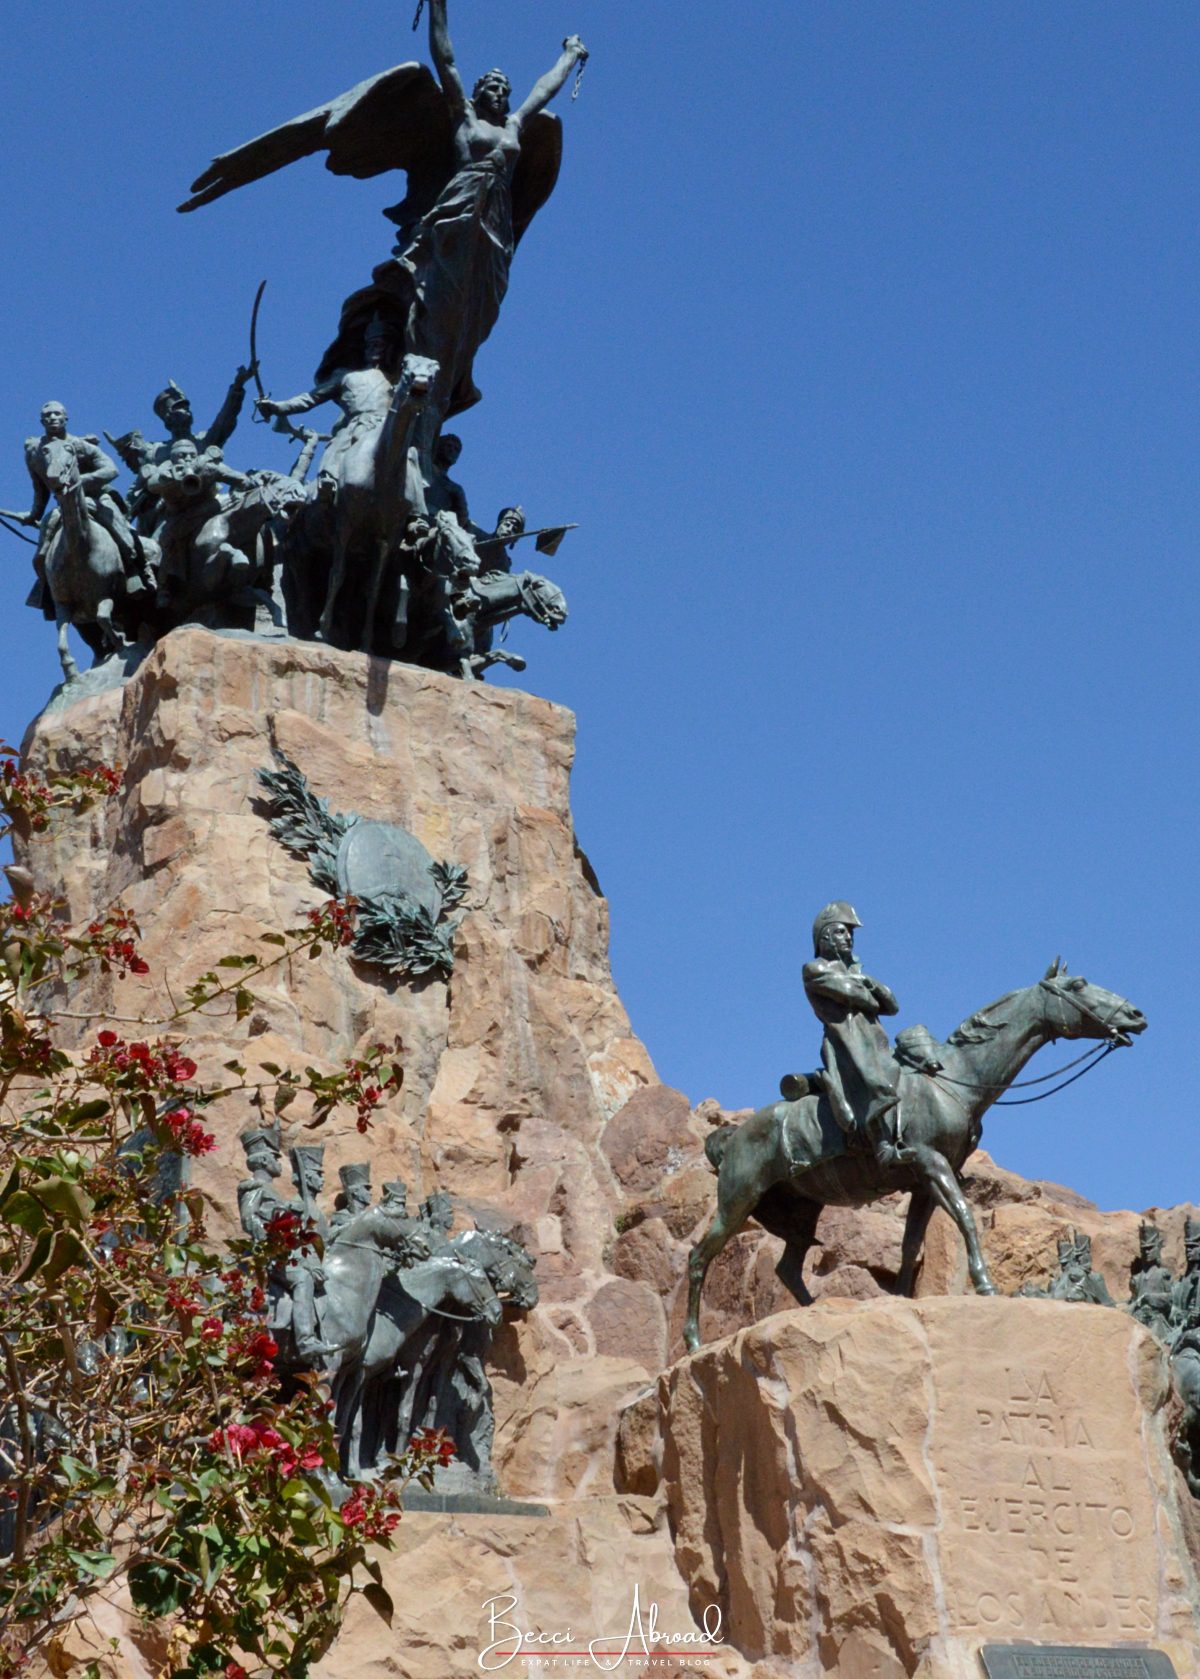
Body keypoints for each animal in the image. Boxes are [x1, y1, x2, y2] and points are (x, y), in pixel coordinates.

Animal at [684, 960, 1147, 1349]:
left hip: (801, 1213)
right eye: (1079, 984)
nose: (1136, 1015)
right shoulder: (931, 1163)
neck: (956, 1079)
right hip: (739, 1201)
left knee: (787, 1267)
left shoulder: (924, 1182)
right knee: (698, 1258)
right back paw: (692, 1341)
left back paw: (814, 1312)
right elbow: (965, 1216)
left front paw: (903, 1297)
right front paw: (985, 1284)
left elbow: (911, 1245)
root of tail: (733, 1137)